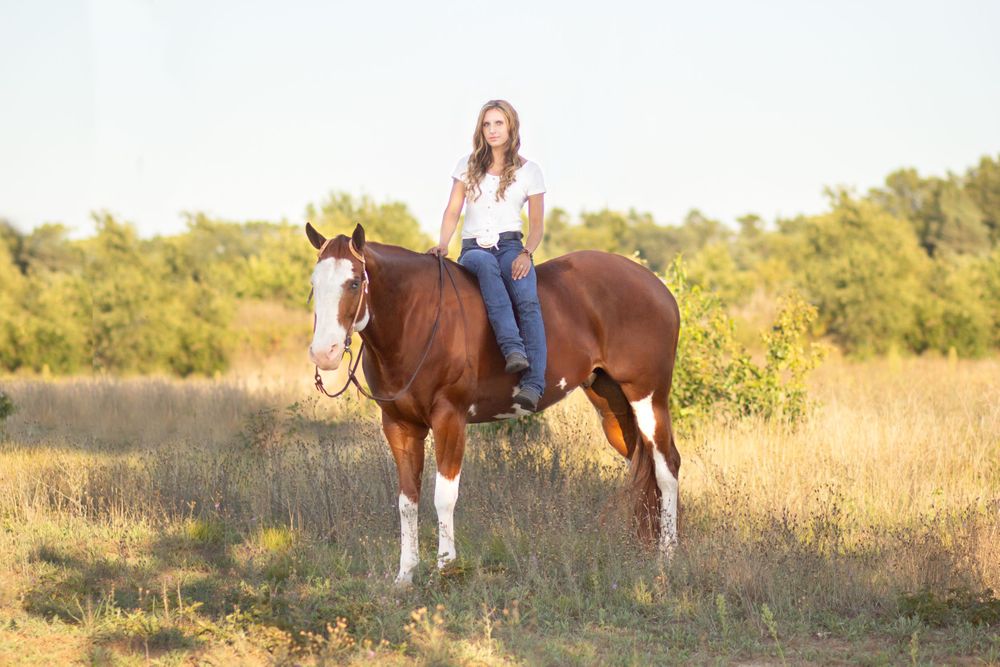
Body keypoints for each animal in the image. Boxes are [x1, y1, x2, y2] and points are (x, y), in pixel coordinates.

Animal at [306, 222, 681, 584]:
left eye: (354, 283)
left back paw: (667, 557)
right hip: (613, 408)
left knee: (667, 469)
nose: (324, 353)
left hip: (648, 398)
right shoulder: (400, 425)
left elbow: (444, 497)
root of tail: (657, 287)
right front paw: (405, 575)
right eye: (314, 284)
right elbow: (407, 501)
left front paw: (446, 567)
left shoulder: (449, 419)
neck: (416, 317)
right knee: (644, 466)